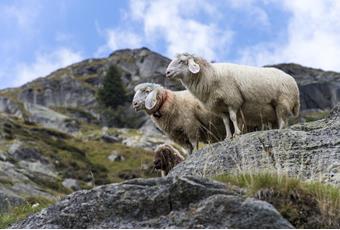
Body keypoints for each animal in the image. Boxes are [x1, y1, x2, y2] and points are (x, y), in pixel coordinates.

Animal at [165, 52, 300, 137]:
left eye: (181, 61)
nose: (167, 72)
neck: (210, 75)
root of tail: (292, 81)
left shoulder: (232, 100)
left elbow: (233, 117)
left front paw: (237, 133)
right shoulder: (219, 107)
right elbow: (226, 121)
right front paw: (228, 136)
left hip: (282, 102)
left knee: (283, 120)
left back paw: (280, 130)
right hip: (272, 110)